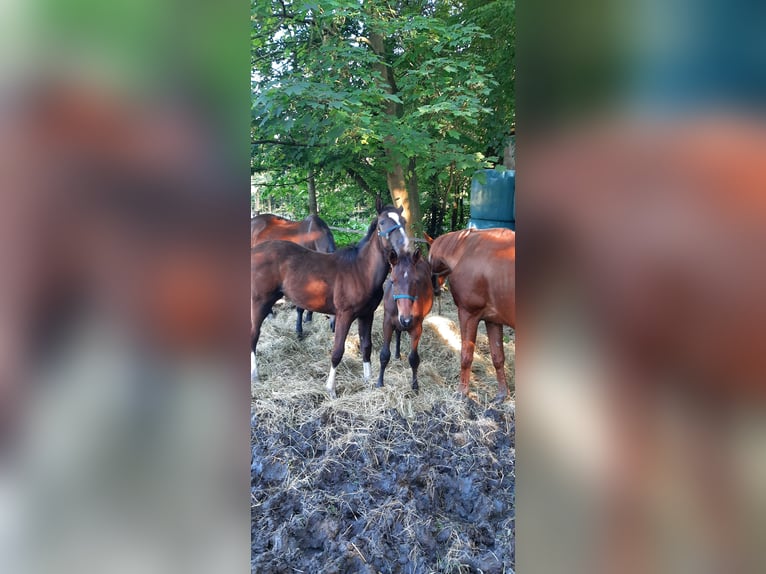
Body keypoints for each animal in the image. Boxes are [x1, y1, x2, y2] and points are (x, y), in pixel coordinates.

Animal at [252, 200, 412, 398]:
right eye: (382, 223)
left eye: (403, 222)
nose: (405, 248)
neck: (360, 271)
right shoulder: (344, 315)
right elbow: (337, 351)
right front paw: (331, 389)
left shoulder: (367, 314)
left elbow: (366, 346)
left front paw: (368, 381)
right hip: (259, 302)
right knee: (253, 334)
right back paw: (255, 375)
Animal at [432, 227, 516, 402]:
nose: (436, 289)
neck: (465, 250)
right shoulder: (493, 320)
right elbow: (498, 357)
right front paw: (502, 394)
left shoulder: (468, 315)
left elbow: (466, 356)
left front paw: (462, 392)